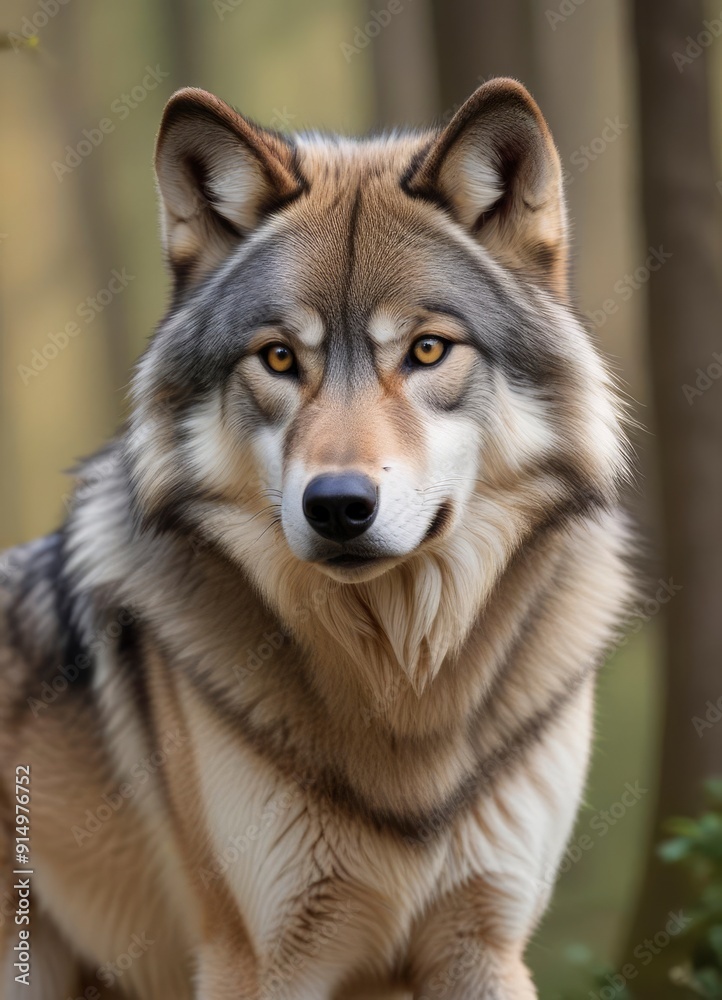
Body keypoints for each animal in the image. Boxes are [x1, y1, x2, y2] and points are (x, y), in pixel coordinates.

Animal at [0, 78, 631, 998]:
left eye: (427, 349)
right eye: (277, 359)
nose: (336, 505)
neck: (400, 687)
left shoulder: (484, 945)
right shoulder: (261, 961)